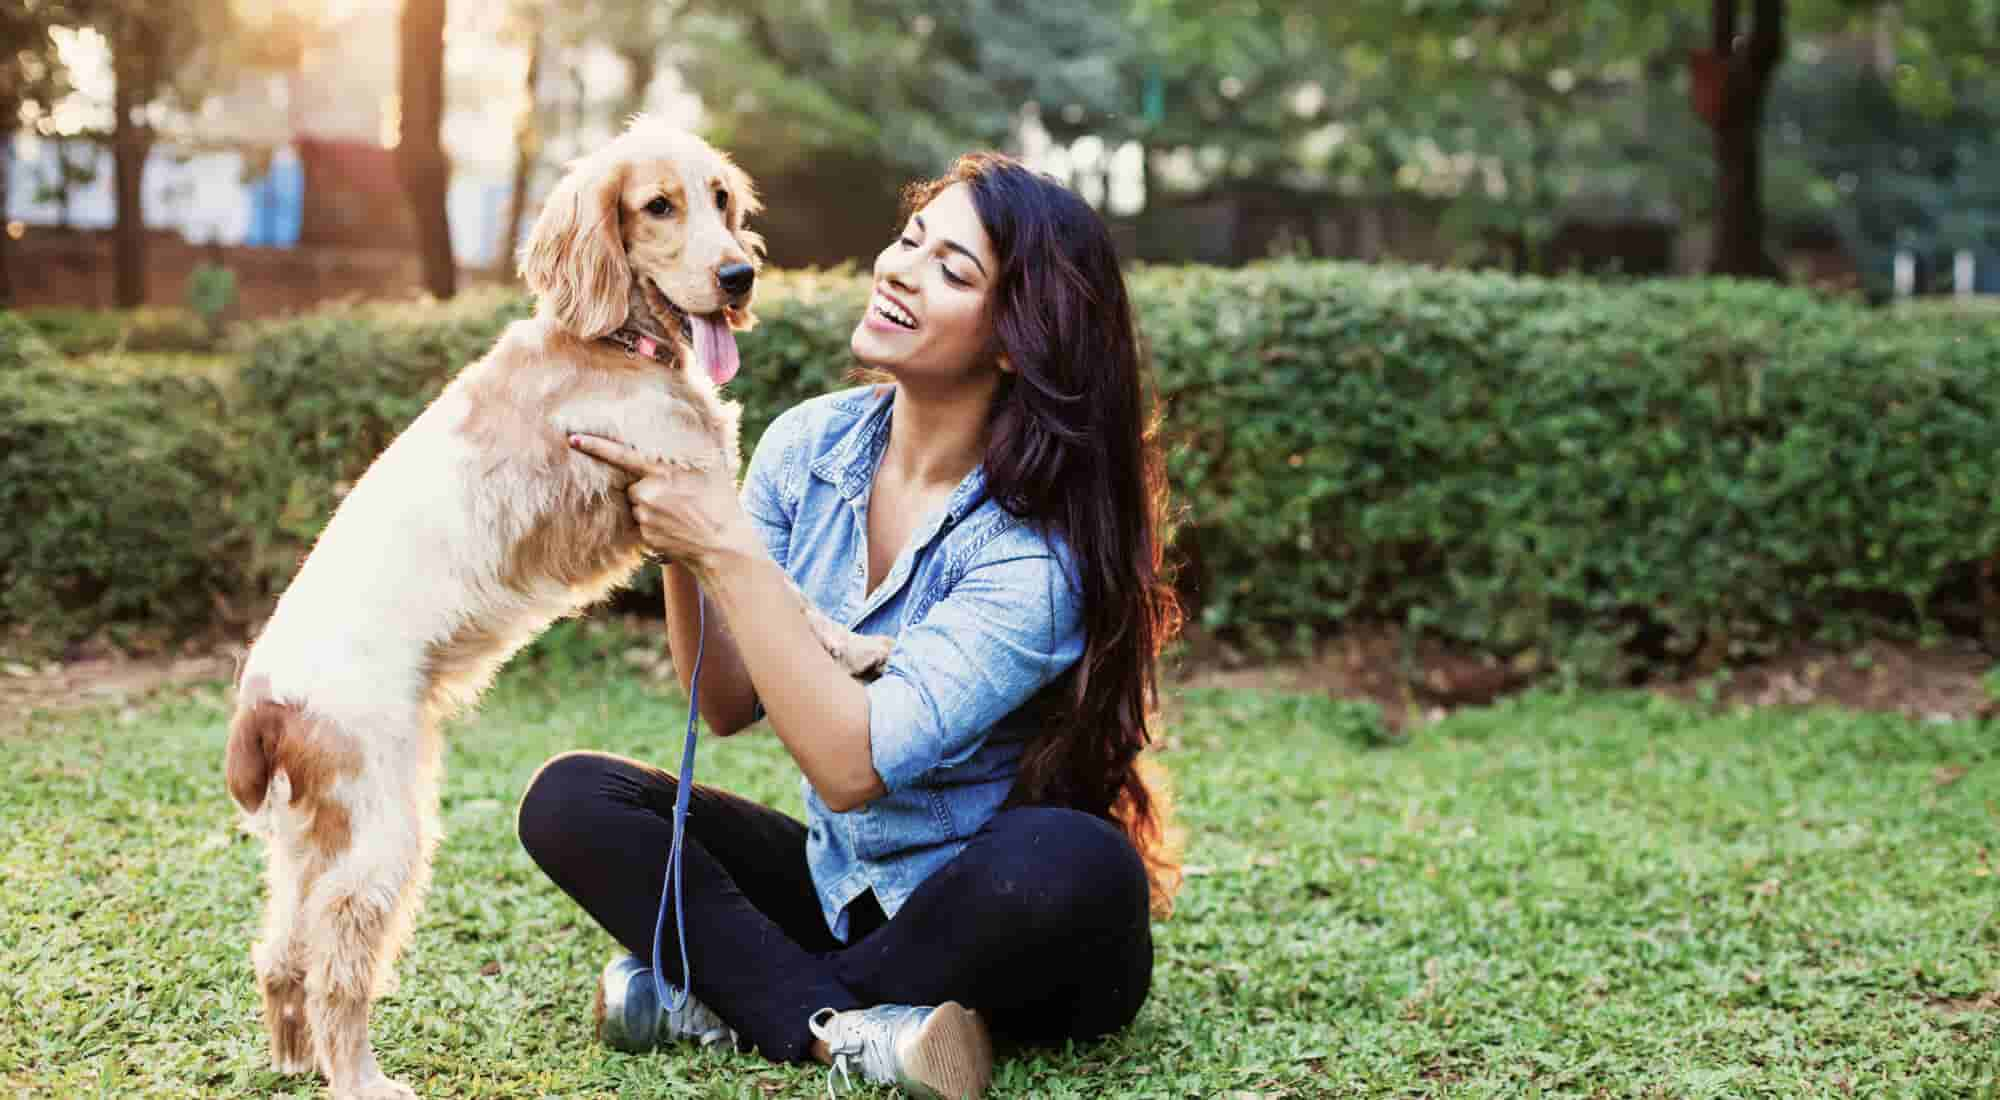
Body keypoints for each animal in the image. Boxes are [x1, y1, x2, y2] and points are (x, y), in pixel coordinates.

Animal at [219, 121, 892, 1100]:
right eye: (658, 206)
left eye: (722, 200)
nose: (739, 278)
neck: (610, 343)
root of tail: (262, 696)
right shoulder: (687, 489)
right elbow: (790, 593)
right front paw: (853, 646)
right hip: (382, 832)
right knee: (338, 959)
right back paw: (359, 1077)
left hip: (314, 837)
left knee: (283, 949)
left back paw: (294, 1055)